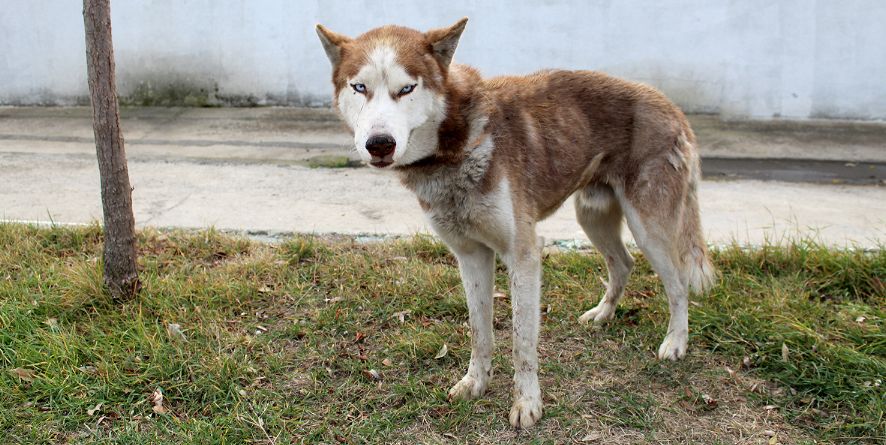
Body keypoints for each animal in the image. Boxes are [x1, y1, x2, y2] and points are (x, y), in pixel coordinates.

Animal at [316, 17, 720, 426]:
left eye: (406, 89)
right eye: (359, 87)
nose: (379, 143)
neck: (458, 143)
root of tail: (672, 105)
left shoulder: (522, 254)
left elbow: (521, 340)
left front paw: (527, 403)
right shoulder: (470, 256)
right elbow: (480, 331)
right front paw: (475, 382)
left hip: (648, 227)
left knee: (678, 283)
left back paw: (676, 342)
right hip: (592, 216)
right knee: (623, 263)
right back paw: (603, 314)